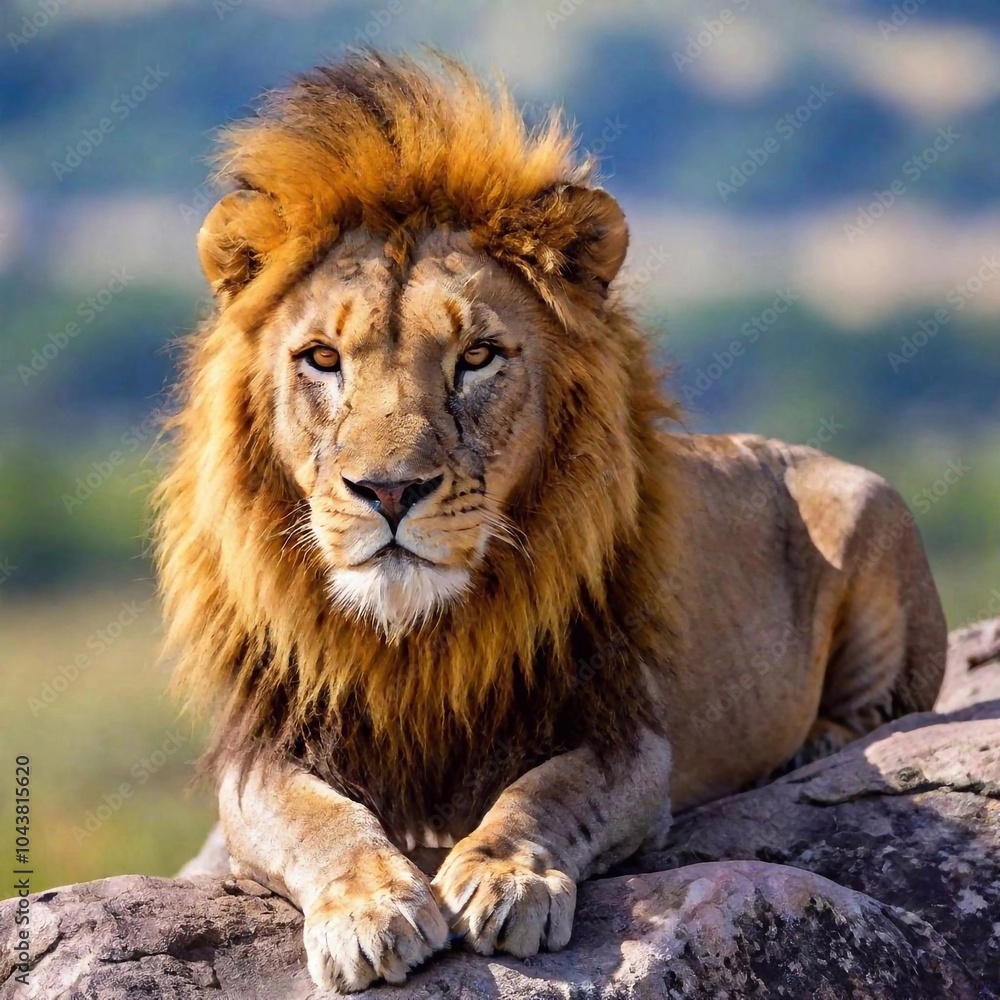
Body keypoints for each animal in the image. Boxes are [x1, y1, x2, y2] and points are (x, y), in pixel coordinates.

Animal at [159, 52, 947, 993]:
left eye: (476, 358)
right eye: (322, 359)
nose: (388, 491)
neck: (416, 639)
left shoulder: (625, 736)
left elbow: (548, 793)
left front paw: (507, 879)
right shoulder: (267, 746)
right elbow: (318, 818)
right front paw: (371, 908)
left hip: (867, 501)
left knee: (881, 708)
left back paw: (809, 751)